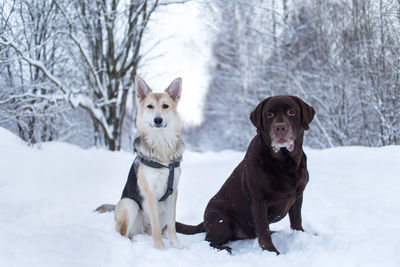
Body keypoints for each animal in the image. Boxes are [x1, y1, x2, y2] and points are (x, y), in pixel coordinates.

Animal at [177, 95, 314, 254]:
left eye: (292, 111)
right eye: (269, 114)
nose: (280, 127)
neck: (285, 163)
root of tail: (204, 223)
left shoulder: (297, 196)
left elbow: (297, 221)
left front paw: (301, 236)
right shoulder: (259, 200)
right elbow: (263, 230)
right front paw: (272, 252)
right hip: (222, 220)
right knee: (209, 241)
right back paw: (224, 248)